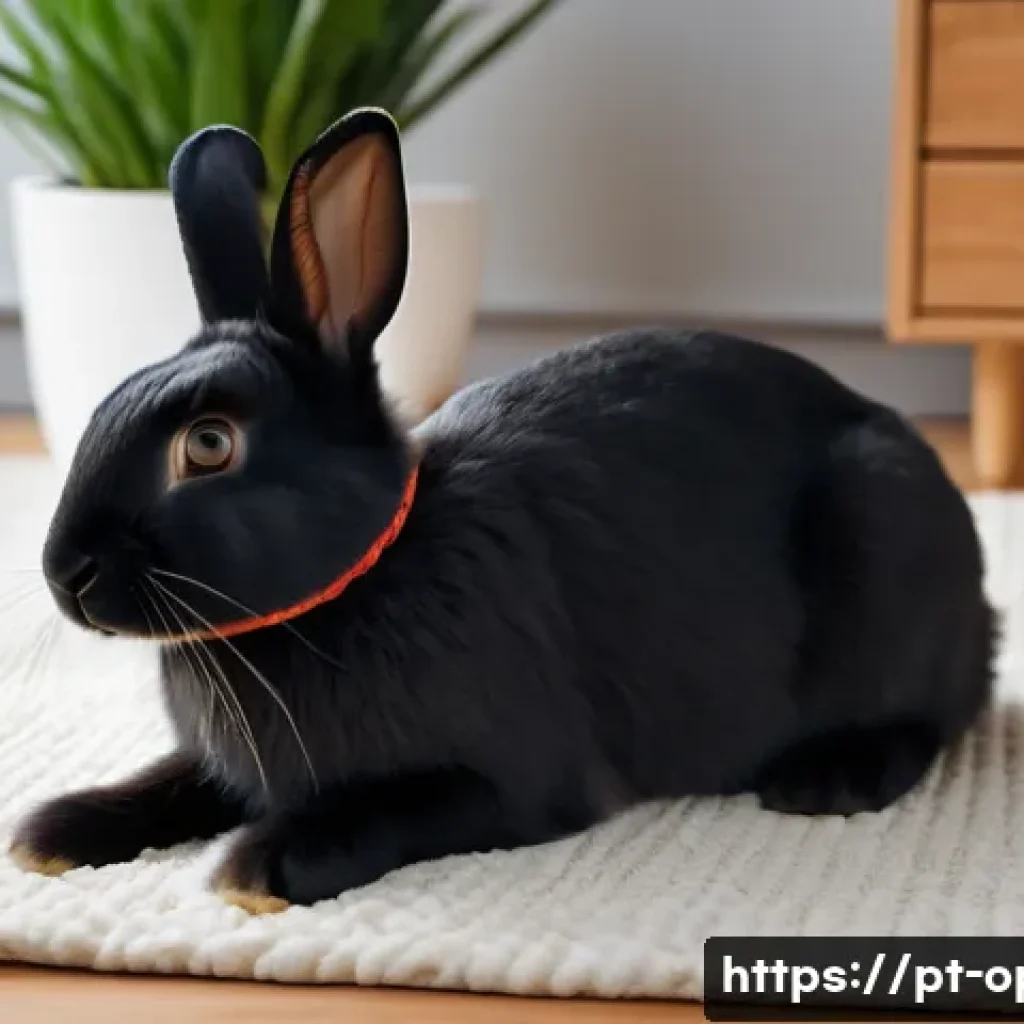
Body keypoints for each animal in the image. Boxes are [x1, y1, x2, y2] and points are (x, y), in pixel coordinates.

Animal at [10, 108, 995, 912]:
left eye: (209, 444)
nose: (65, 574)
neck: (359, 576)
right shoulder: (226, 764)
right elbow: (169, 780)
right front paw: (51, 833)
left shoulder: (512, 781)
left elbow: (391, 808)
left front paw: (259, 866)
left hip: (880, 542)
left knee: (931, 715)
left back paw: (829, 781)